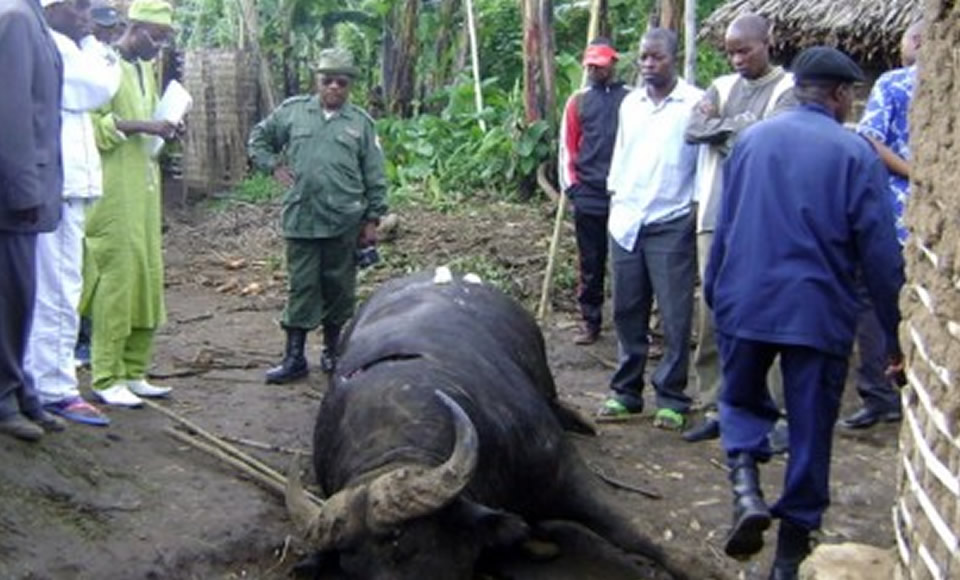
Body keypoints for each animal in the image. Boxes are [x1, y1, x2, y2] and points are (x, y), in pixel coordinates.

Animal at [286, 269, 704, 579]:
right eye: (352, 568)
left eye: (402, 545)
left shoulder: (560, 468)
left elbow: (630, 528)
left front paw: (702, 566)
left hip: (545, 373)